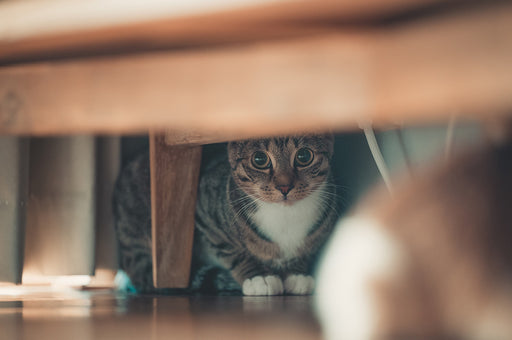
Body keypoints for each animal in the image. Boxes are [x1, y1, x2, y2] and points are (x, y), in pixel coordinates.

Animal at [113, 135, 338, 294]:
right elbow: (232, 251)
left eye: (304, 156)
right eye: (259, 159)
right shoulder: (204, 213)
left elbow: (306, 250)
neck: (285, 216)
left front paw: (297, 273)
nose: (284, 187)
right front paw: (258, 277)